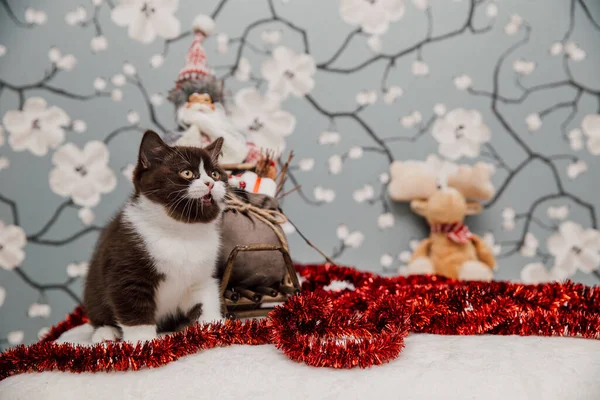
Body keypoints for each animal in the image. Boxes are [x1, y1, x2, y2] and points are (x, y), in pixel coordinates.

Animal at [82, 131, 227, 344]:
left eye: (215, 174)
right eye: (187, 173)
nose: (211, 183)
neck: (181, 231)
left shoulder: (201, 275)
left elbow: (206, 297)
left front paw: (213, 327)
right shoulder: (125, 266)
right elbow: (134, 308)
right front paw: (143, 342)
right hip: (93, 287)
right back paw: (106, 332)